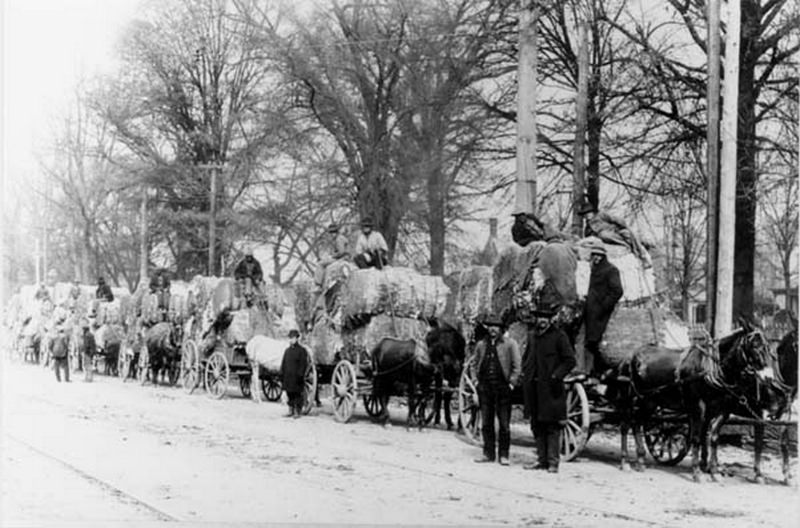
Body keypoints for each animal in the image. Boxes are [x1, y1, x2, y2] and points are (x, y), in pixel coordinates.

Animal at [608, 318, 788, 482]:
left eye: (767, 347)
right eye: (754, 345)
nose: (768, 377)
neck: (712, 369)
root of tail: (631, 356)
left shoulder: (722, 410)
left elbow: (712, 438)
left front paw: (714, 472)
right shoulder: (697, 407)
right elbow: (696, 437)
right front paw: (697, 472)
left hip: (649, 402)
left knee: (637, 423)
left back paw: (640, 460)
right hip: (629, 399)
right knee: (625, 425)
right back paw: (625, 461)